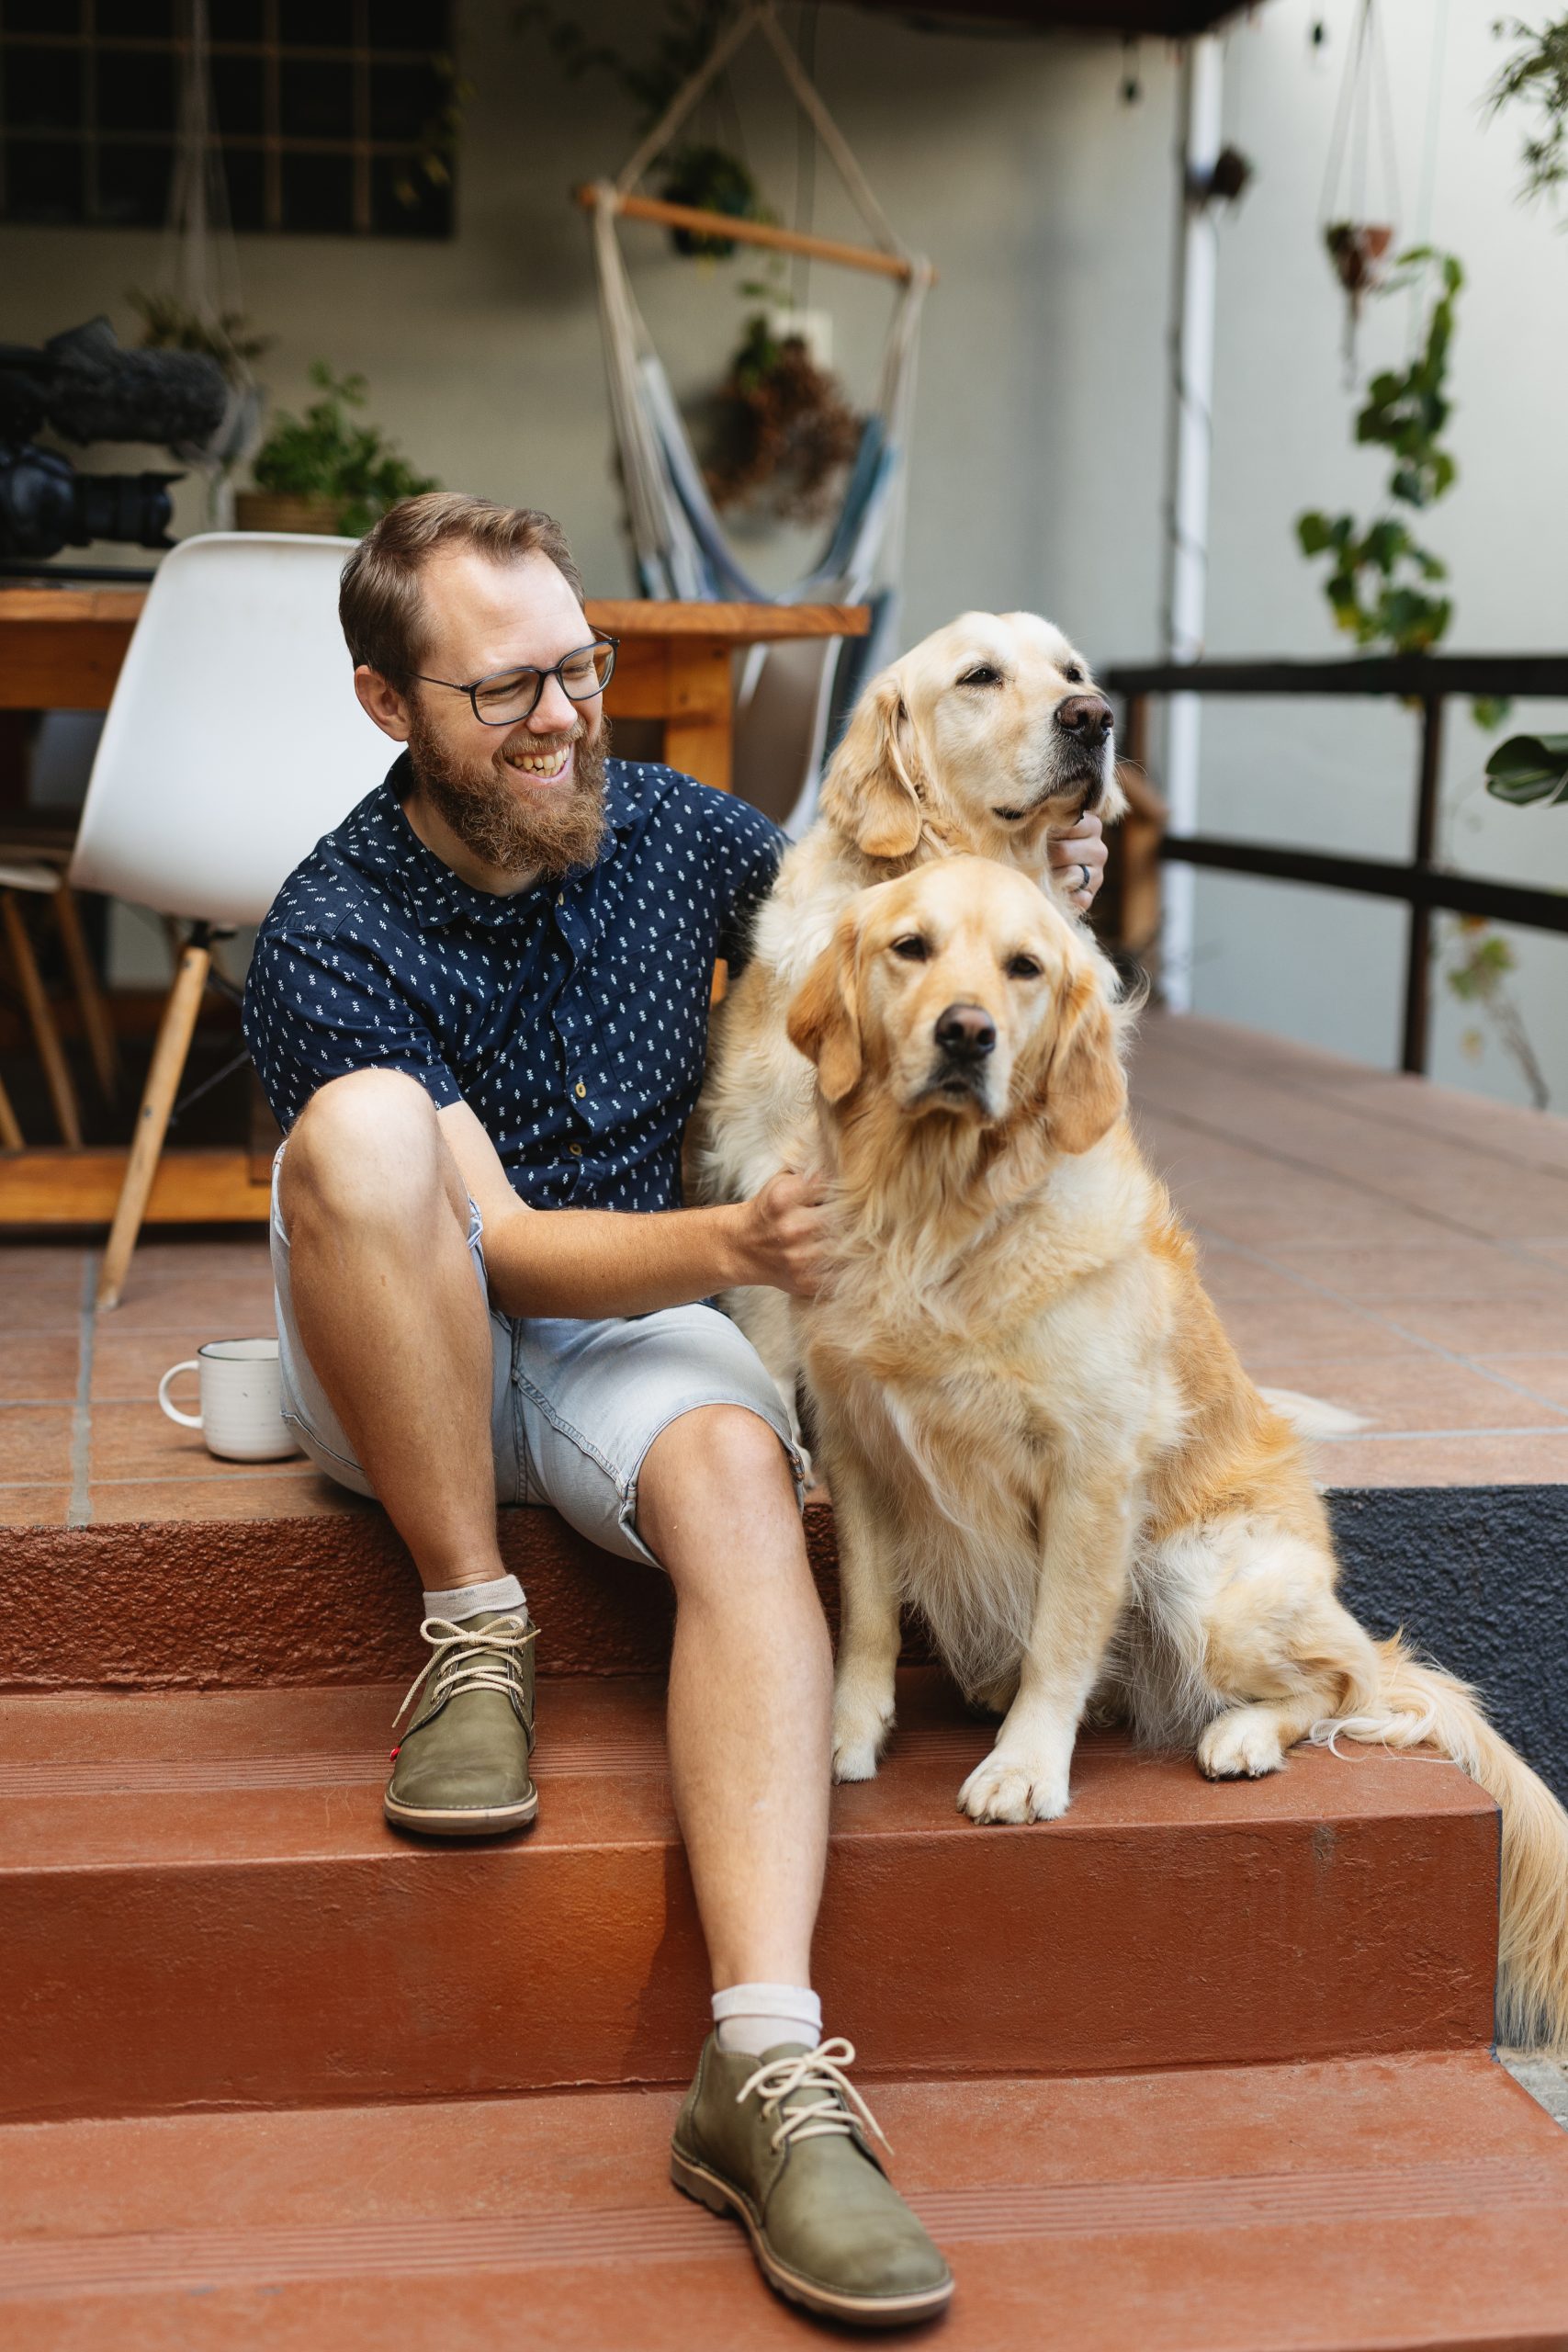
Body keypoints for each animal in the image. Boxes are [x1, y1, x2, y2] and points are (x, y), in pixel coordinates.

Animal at [784, 854, 1568, 2052]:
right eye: (910, 948)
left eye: (1024, 966)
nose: (967, 1034)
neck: (939, 1216)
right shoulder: (859, 1441)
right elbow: (865, 1616)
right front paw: (846, 1733)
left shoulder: (1093, 1470)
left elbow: (1061, 1638)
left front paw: (1025, 1766)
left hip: (1204, 1581)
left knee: (1343, 1682)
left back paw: (1242, 1736)